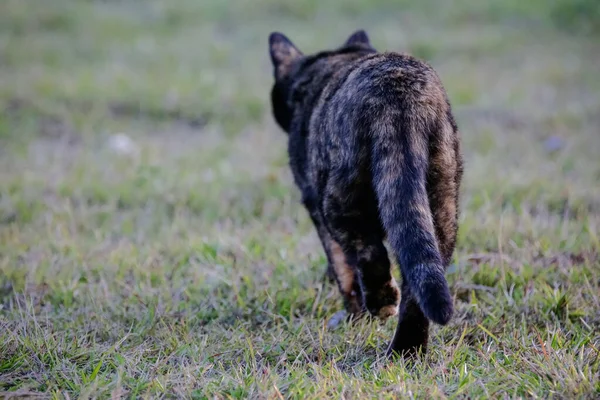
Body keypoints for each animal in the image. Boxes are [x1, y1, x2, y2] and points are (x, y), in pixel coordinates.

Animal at [268, 29, 464, 358]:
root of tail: (398, 96)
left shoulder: (316, 210)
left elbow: (342, 269)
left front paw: (355, 316)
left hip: (337, 198)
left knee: (368, 252)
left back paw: (383, 304)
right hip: (441, 203)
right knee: (419, 280)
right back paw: (406, 351)